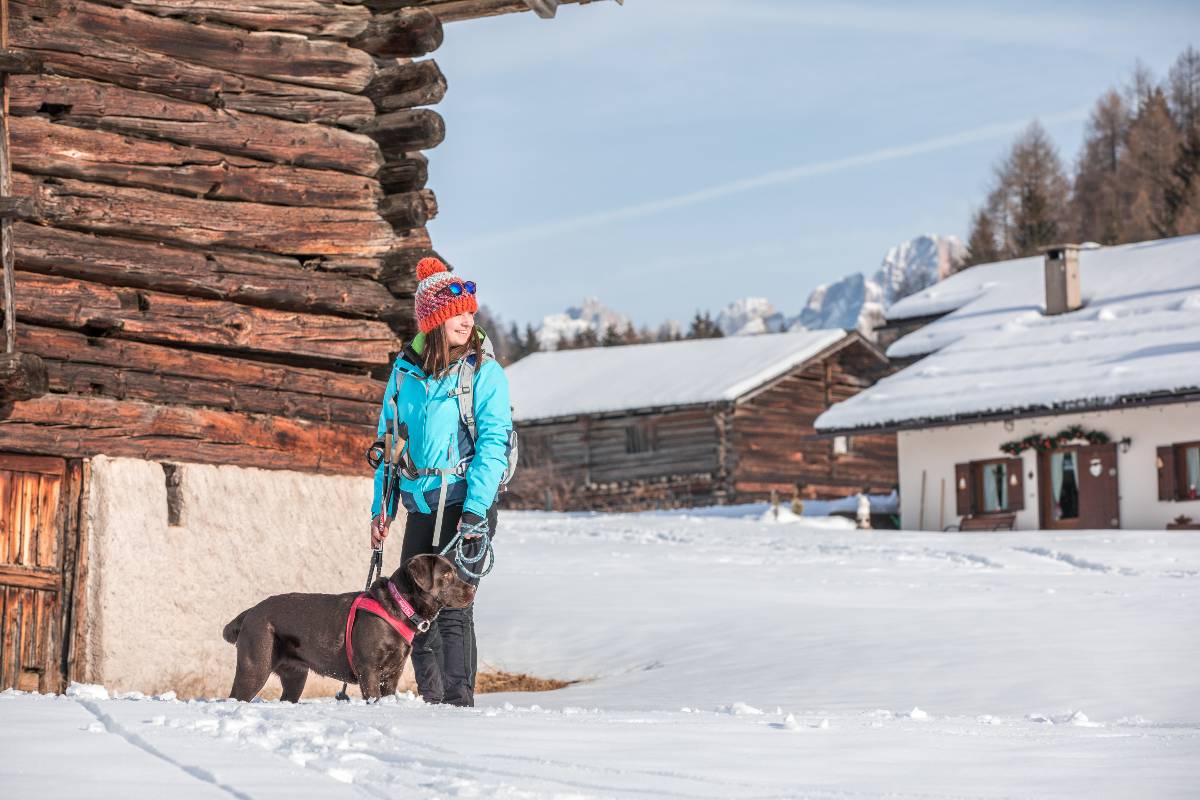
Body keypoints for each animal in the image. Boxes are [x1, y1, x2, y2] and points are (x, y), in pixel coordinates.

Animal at [220, 556, 472, 700]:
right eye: (447, 574)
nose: (472, 589)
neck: (397, 607)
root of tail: (251, 611)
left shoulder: (393, 673)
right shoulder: (369, 670)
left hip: (296, 676)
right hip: (254, 667)